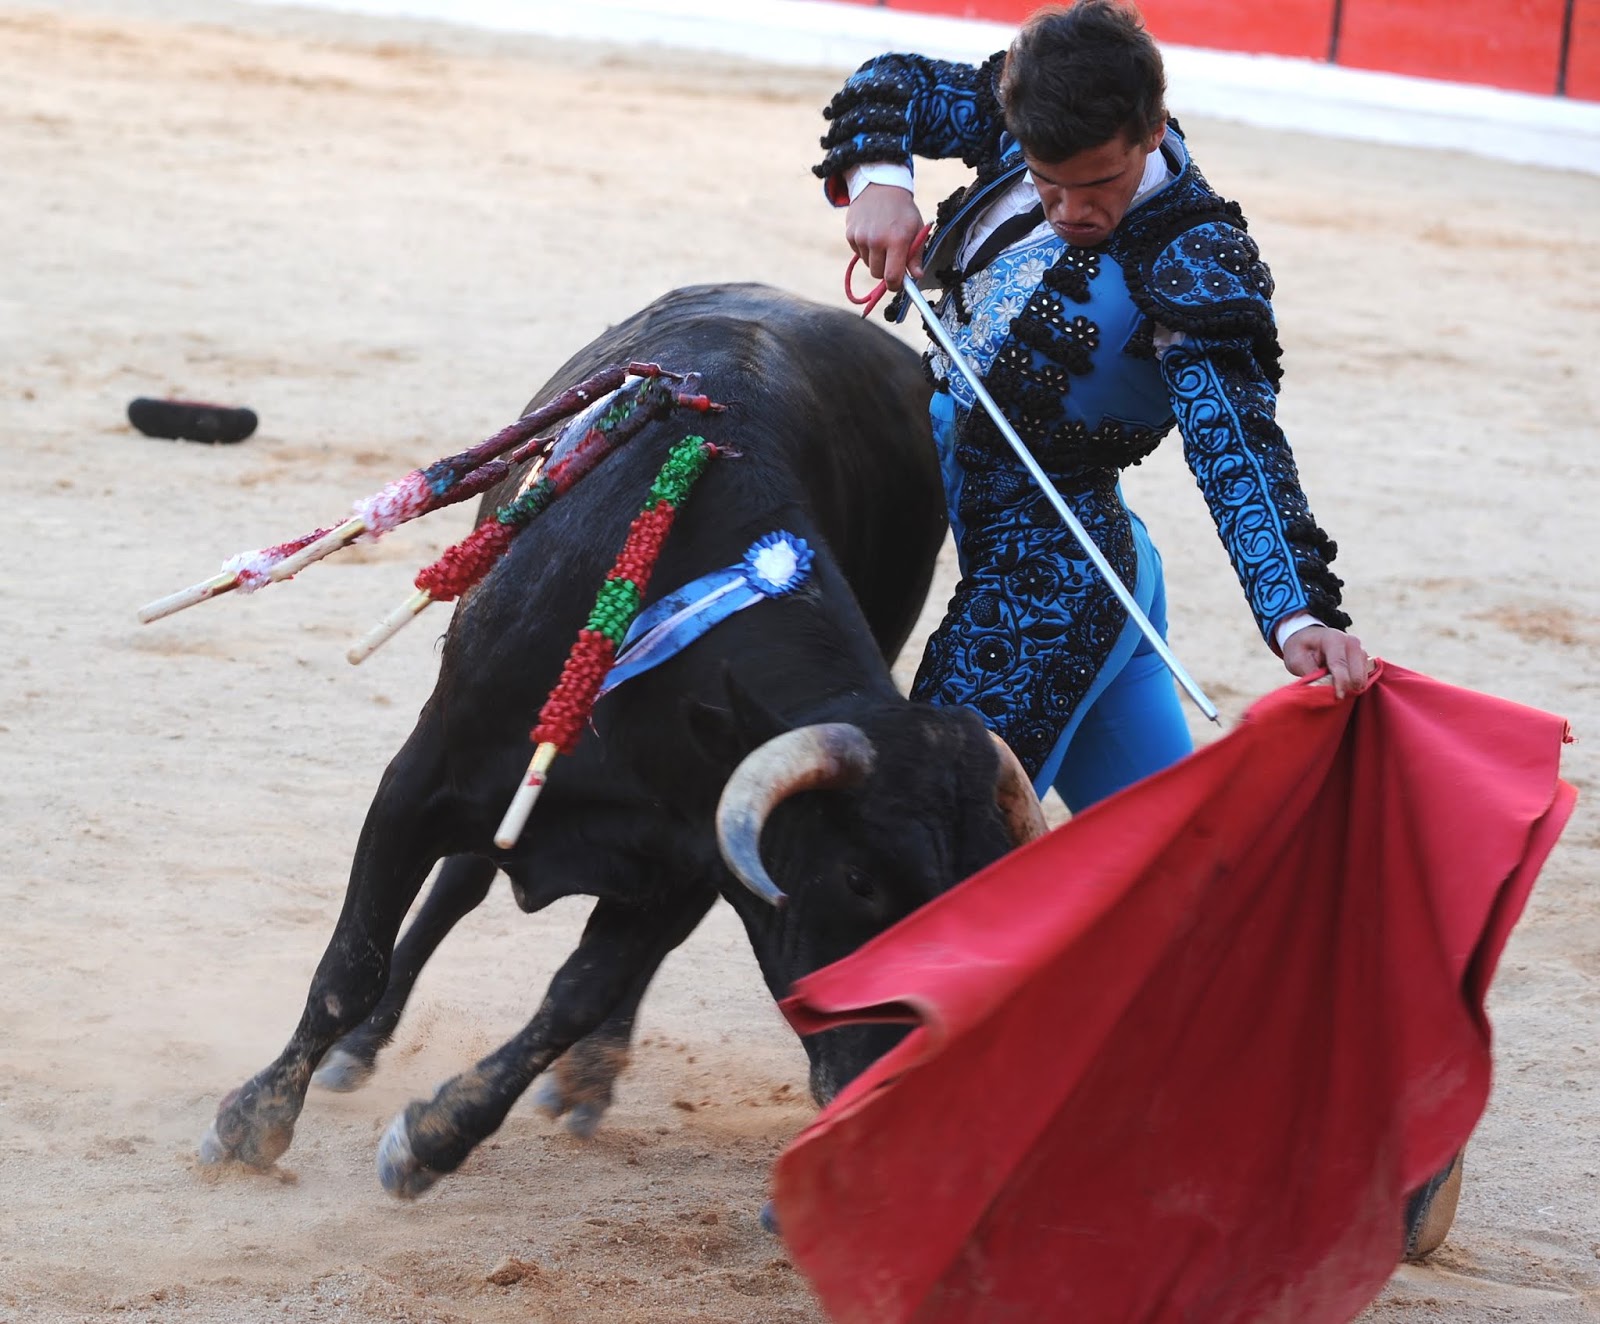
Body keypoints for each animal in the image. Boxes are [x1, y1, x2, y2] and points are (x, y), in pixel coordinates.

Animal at [198, 283, 1044, 1199]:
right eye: (858, 879)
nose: (884, 1093)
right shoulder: (421, 781)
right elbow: (350, 968)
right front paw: (253, 1121)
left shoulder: (691, 859)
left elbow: (576, 997)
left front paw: (435, 1139)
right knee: (457, 887)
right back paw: (358, 1053)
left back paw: (589, 1081)